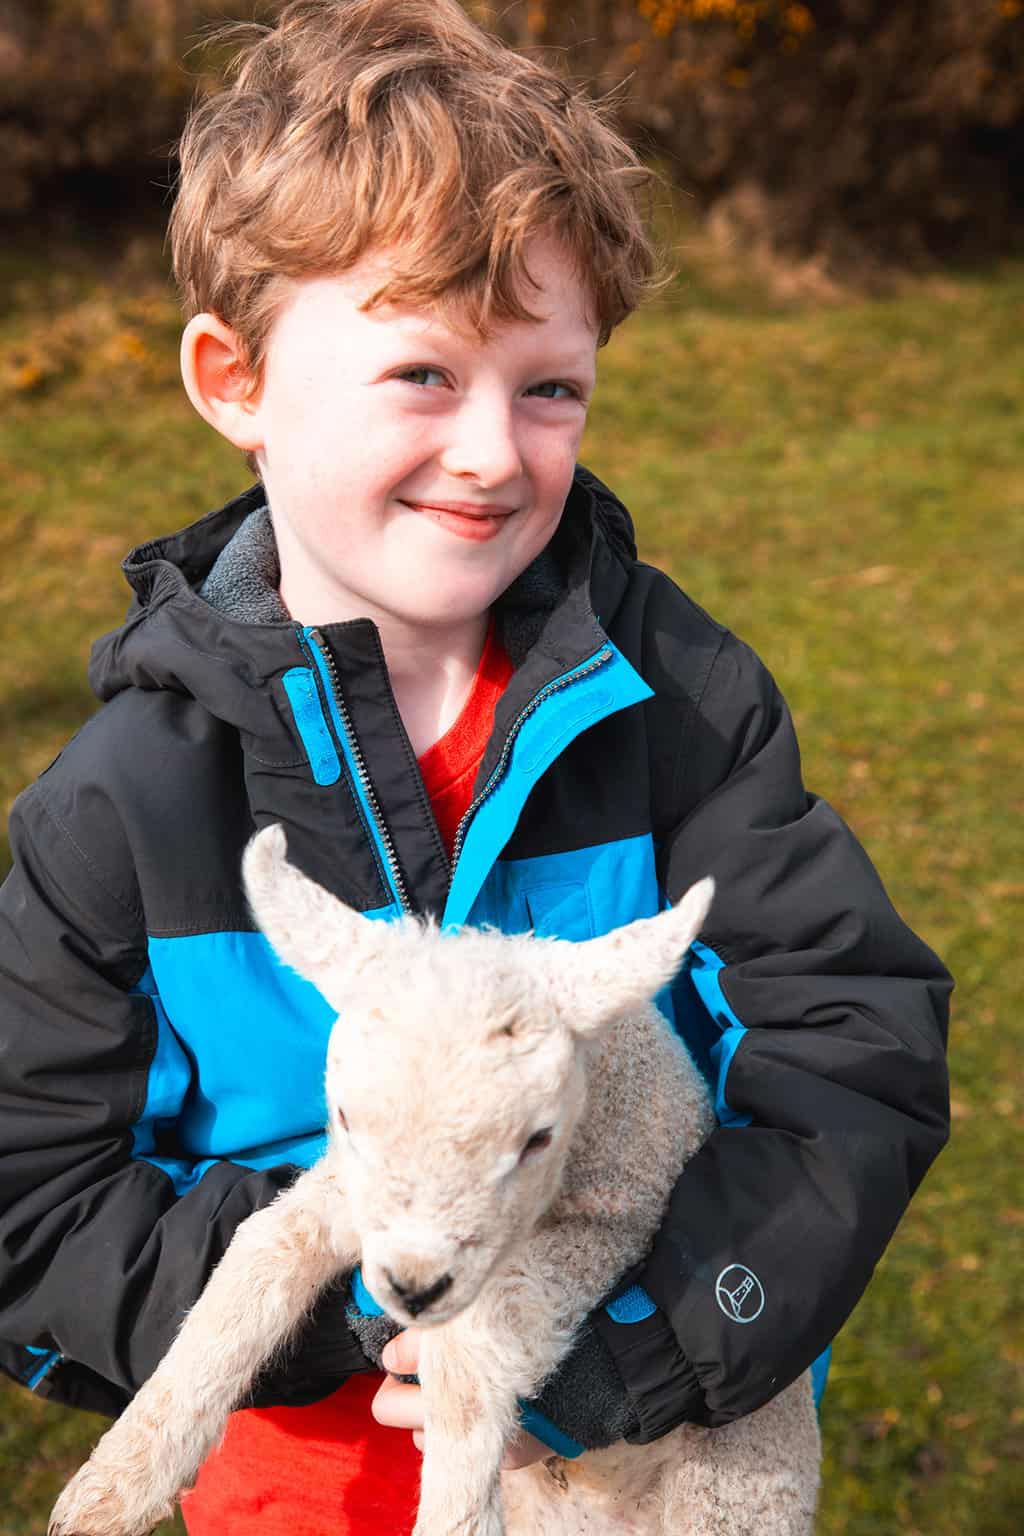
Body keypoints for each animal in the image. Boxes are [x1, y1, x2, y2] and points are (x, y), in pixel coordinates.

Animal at [49, 829, 822, 1536]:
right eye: (344, 1116)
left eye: (535, 1139)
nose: (412, 1288)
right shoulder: (352, 1195)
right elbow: (263, 1248)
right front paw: (121, 1477)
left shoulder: (620, 1219)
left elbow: (473, 1348)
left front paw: (456, 1512)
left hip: (730, 1490)